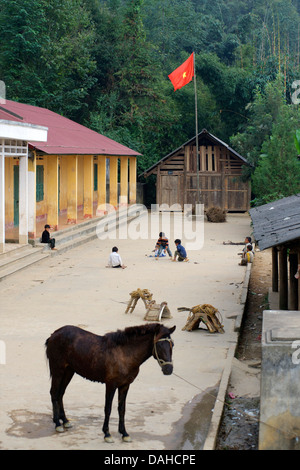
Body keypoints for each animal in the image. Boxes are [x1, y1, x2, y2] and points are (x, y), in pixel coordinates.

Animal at [45, 322, 176, 442]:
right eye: (159, 344)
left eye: (172, 345)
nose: (168, 369)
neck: (125, 354)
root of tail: (53, 334)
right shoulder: (111, 385)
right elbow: (108, 408)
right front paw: (107, 433)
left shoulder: (125, 385)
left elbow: (122, 409)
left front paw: (124, 433)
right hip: (58, 371)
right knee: (54, 393)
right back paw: (57, 424)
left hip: (69, 371)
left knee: (60, 394)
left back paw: (65, 421)